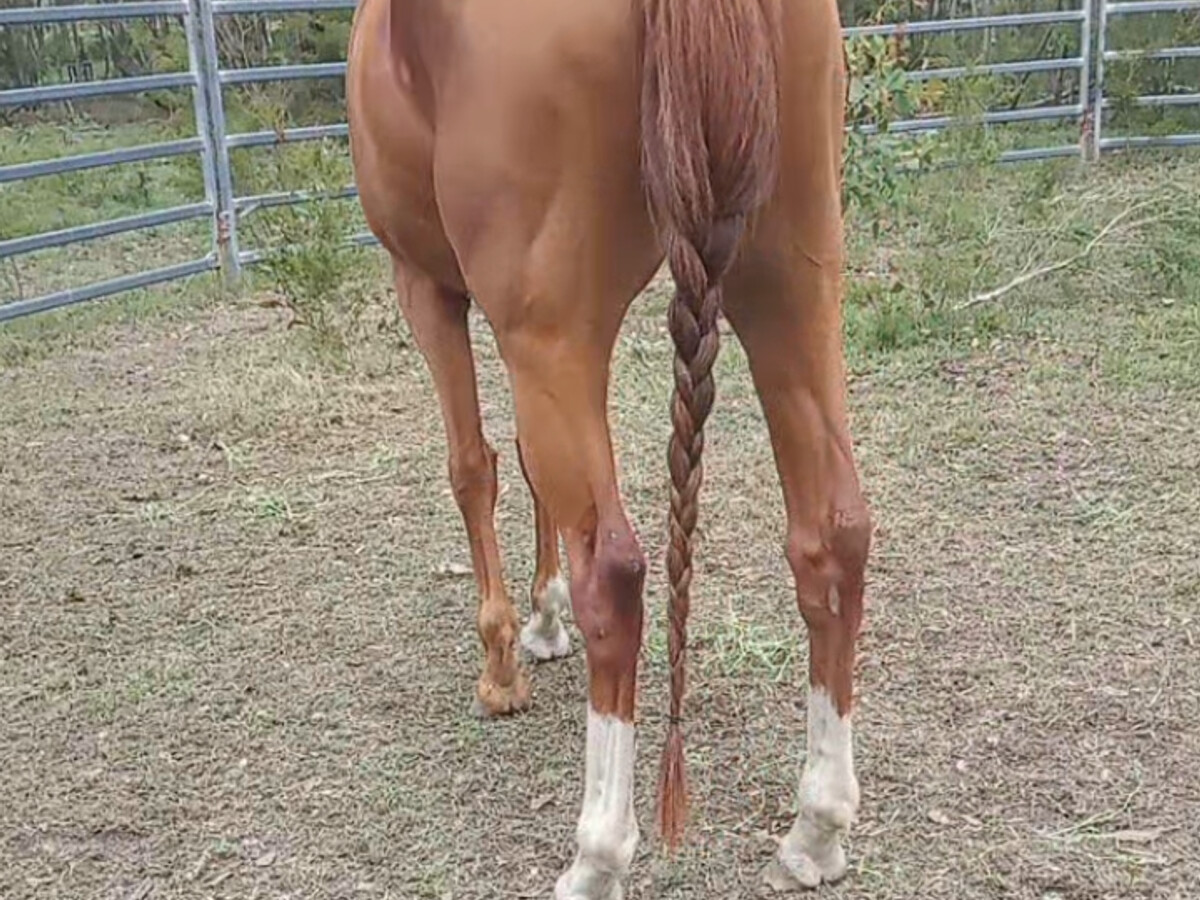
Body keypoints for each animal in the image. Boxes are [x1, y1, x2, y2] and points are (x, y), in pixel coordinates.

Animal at [346, 0, 872, 895]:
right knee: (833, 530)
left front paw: (503, 666)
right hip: (791, 279)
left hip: (553, 333)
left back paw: (596, 855)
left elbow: (473, 467)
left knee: (617, 576)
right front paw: (543, 617)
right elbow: (528, 468)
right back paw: (817, 827)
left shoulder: (428, 287)